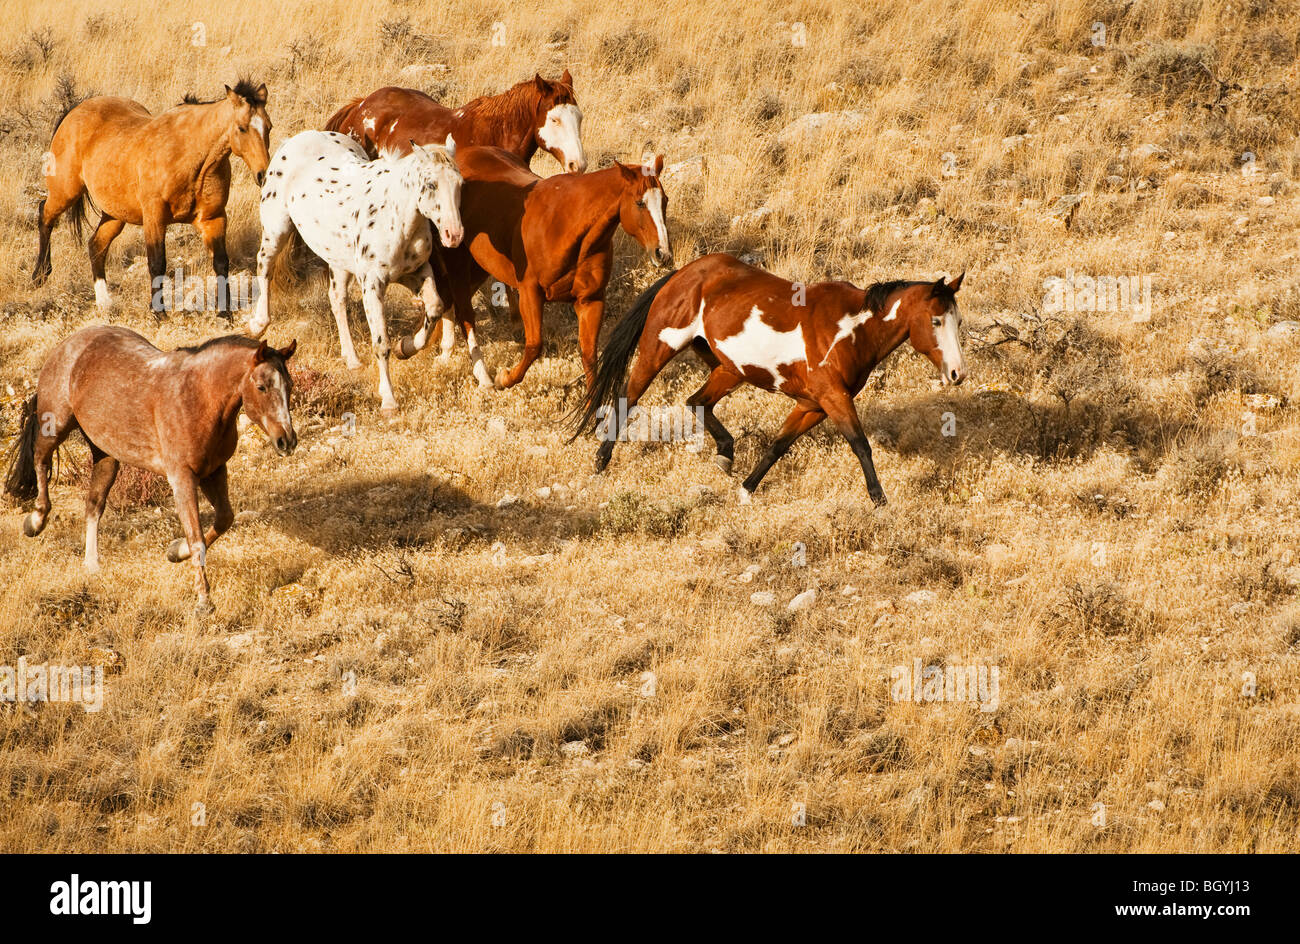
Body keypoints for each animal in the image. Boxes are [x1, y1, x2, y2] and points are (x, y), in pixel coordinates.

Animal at [3, 327, 297, 613]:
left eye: (290, 386)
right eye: (261, 387)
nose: (287, 441)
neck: (198, 399)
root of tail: (67, 345)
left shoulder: (215, 471)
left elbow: (224, 519)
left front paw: (175, 551)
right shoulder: (182, 478)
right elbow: (197, 537)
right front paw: (203, 601)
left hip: (106, 454)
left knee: (94, 504)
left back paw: (92, 565)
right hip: (55, 426)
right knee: (40, 459)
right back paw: (35, 522)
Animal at [33, 80, 272, 318]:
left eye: (268, 126)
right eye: (242, 128)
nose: (263, 174)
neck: (189, 157)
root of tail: (73, 112)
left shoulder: (214, 219)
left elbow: (221, 263)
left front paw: (225, 313)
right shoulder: (154, 218)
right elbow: (157, 263)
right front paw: (159, 312)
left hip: (115, 214)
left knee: (96, 245)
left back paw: (104, 302)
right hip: (66, 191)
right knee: (45, 215)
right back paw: (40, 275)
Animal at [247, 130, 464, 413]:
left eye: (460, 183)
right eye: (431, 185)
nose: (454, 235)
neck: (394, 215)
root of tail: (295, 139)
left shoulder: (415, 273)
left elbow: (435, 308)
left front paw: (405, 347)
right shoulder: (373, 284)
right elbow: (381, 342)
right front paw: (389, 399)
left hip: (338, 260)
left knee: (337, 300)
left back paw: (351, 359)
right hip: (276, 231)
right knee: (264, 267)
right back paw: (257, 325)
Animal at [431, 146, 671, 391]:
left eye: (665, 201)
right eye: (640, 203)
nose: (662, 253)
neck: (567, 226)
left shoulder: (590, 300)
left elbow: (589, 354)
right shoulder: (530, 294)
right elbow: (534, 345)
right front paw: (504, 377)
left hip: (481, 265)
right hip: (458, 263)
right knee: (463, 312)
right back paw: (479, 374)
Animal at [571, 254, 967, 506]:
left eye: (957, 321)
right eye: (935, 321)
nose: (957, 373)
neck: (850, 329)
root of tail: (684, 273)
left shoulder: (812, 405)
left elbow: (779, 445)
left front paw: (746, 490)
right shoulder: (834, 398)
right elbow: (860, 445)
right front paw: (880, 500)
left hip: (729, 369)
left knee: (697, 401)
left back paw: (725, 454)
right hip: (659, 349)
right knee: (630, 396)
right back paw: (601, 460)